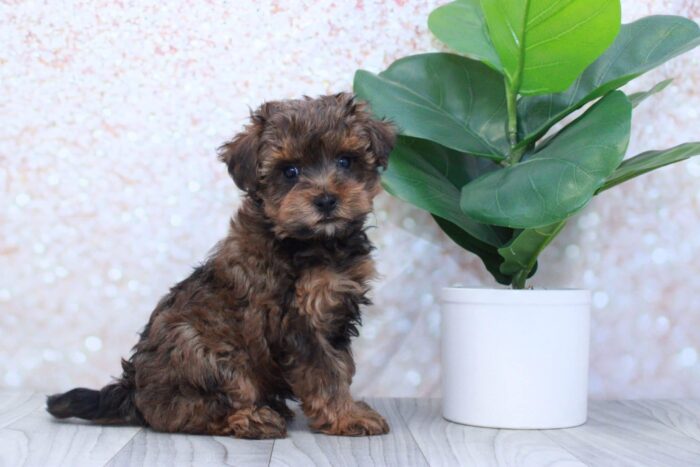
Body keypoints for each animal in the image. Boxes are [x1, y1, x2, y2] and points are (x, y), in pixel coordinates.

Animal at [45, 93, 394, 440]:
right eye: (290, 171)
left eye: (345, 161)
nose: (326, 200)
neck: (311, 240)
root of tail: (133, 391)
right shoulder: (298, 322)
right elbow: (325, 372)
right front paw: (347, 417)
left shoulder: (335, 313)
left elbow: (341, 367)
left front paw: (347, 410)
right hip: (203, 350)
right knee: (191, 410)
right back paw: (252, 418)